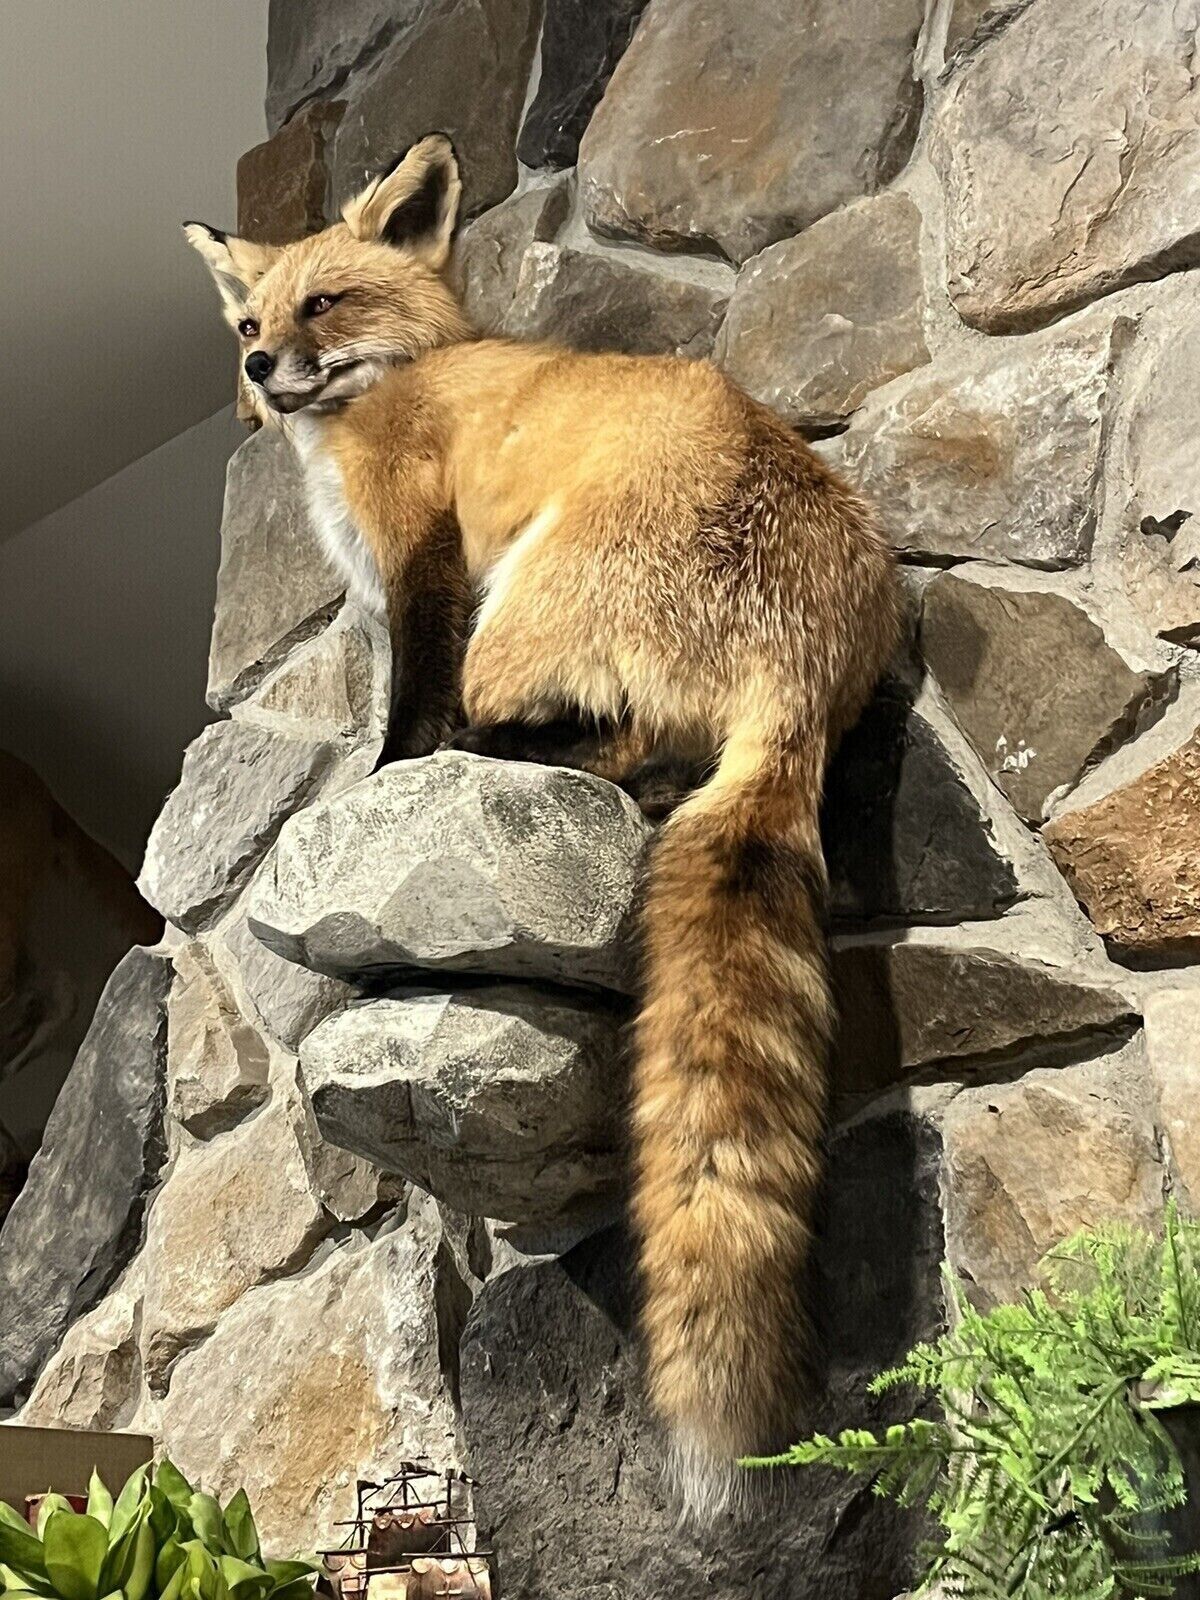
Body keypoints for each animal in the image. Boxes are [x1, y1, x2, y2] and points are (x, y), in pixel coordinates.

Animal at [186, 133, 901, 1514]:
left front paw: (385, 779)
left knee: (594, 736)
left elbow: (404, 707)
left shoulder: (422, 547)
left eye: (323, 304)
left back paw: (495, 753)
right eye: (248, 319)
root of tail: (800, 653)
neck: (393, 382)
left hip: (519, 609)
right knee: (643, 761)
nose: (255, 370)